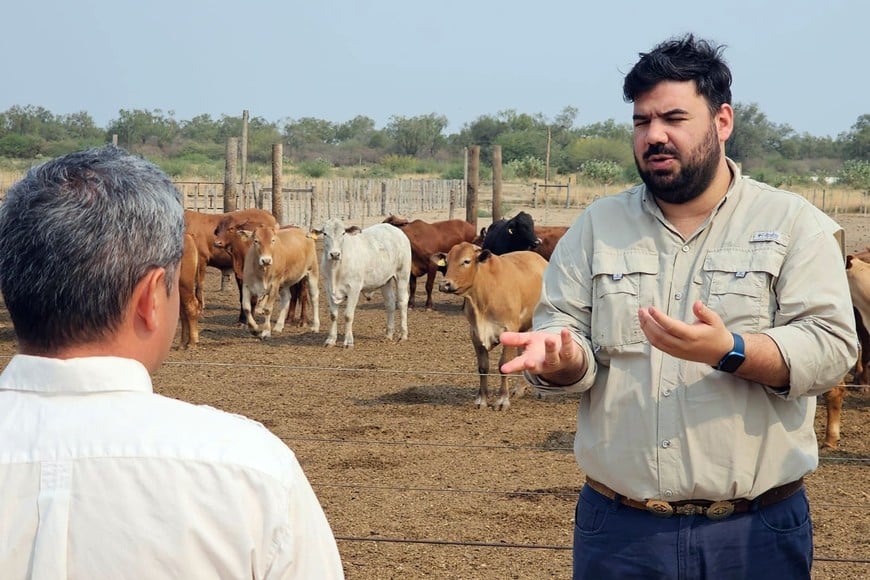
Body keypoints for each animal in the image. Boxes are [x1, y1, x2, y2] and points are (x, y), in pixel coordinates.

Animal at [318, 216, 414, 344]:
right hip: (385, 280)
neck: (335, 270)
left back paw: (403, 335)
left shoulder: (354, 288)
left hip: (402, 274)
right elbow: (333, 315)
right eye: (325, 233)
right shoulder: (328, 289)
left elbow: (348, 315)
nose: (334, 254)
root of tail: (396, 230)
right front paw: (331, 340)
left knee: (402, 301)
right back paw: (388, 334)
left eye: (343, 233)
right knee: (390, 303)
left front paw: (348, 341)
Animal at [434, 242, 544, 410]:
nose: (444, 284)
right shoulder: (475, 334)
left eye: (466, 261)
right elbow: (483, 367)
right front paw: (482, 399)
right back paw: (519, 389)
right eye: (447, 261)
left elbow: (503, 365)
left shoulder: (508, 330)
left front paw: (502, 400)